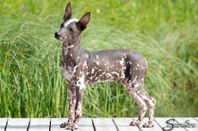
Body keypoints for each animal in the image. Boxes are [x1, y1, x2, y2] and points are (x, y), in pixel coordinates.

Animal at [54, 1, 156, 129]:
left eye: (71, 29)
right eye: (61, 25)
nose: (57, 34)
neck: (70, 56)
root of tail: (143, 58)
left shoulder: (80, 86)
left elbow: (78, 109)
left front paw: (75, 124)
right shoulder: (69, 86)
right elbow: (71, 109)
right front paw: (68, 123)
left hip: (136, 83)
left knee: (151, 100)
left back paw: (150, 123)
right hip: (129, 86)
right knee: (143, 103)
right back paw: (138, 121)